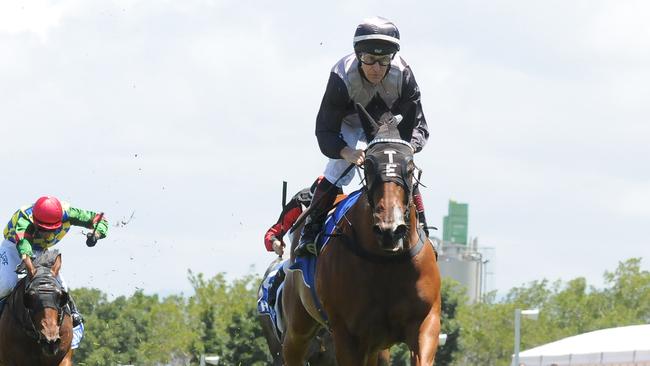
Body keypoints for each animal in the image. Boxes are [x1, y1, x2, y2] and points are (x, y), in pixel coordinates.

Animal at [282, 104, 440, 364]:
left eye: (409, 168)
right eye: (368, 165)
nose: (390, 230)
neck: (387, 261)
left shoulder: (425, 323)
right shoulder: (347, 334)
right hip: (298, 328)